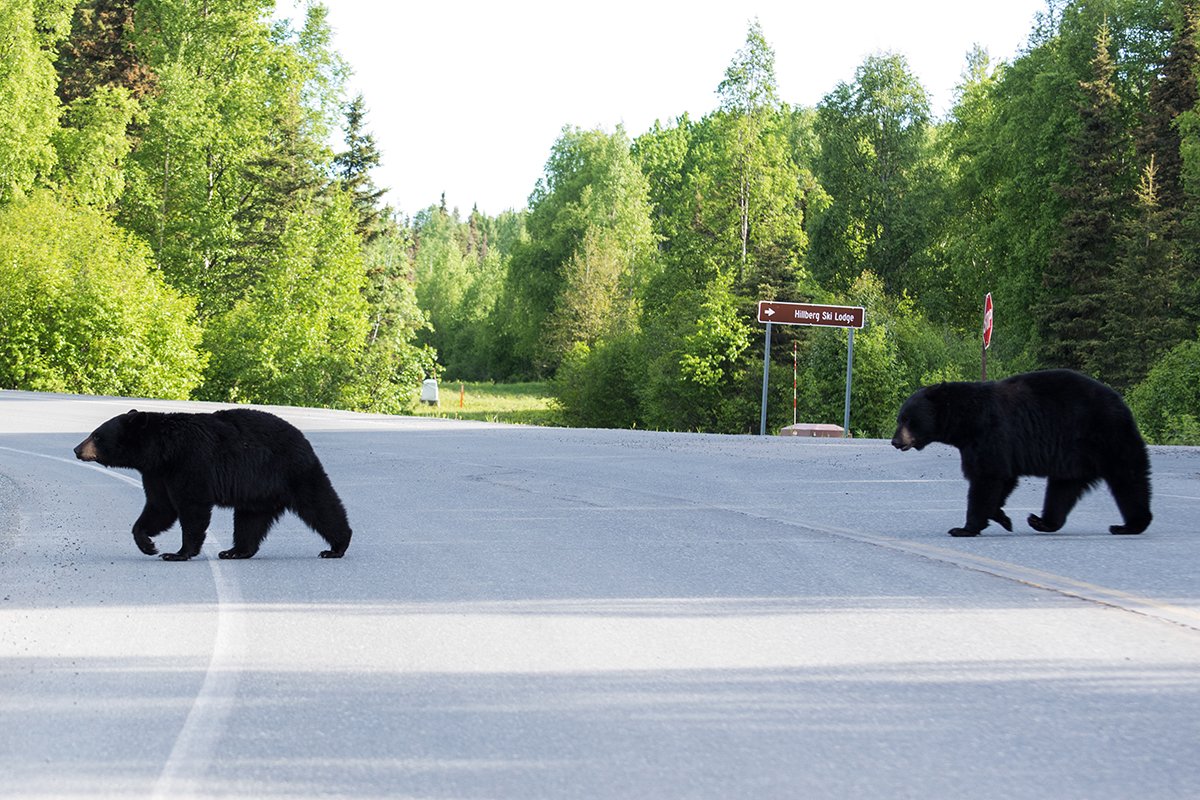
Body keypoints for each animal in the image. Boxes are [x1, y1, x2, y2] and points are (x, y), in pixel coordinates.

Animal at [74, 410, 350, 561]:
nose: (77, 449)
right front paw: (148, 545)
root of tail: (304, 439)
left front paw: (177, 553)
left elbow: (191, 507)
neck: (164, 451)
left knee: (320, 505)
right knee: (250, 521)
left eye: (97, 435)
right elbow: (160, 507)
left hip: (293, 472)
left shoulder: (189, 462)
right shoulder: (156, 474)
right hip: (257, 493)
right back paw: (235, 550)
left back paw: (337, 546)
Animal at [892, 371, 1152, 537]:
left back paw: (1130, 525)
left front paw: (964, 528)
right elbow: (1002, 480)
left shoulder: (990, 434)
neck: (966, 419)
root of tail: (1121, 401)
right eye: (900, 419)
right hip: (1074, 457)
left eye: (908, 420)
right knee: (1063, 489)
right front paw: (1002, 517)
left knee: (1128, 478)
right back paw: (1043, 522)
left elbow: (987, 478)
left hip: (1106, 437)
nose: (895, 441)